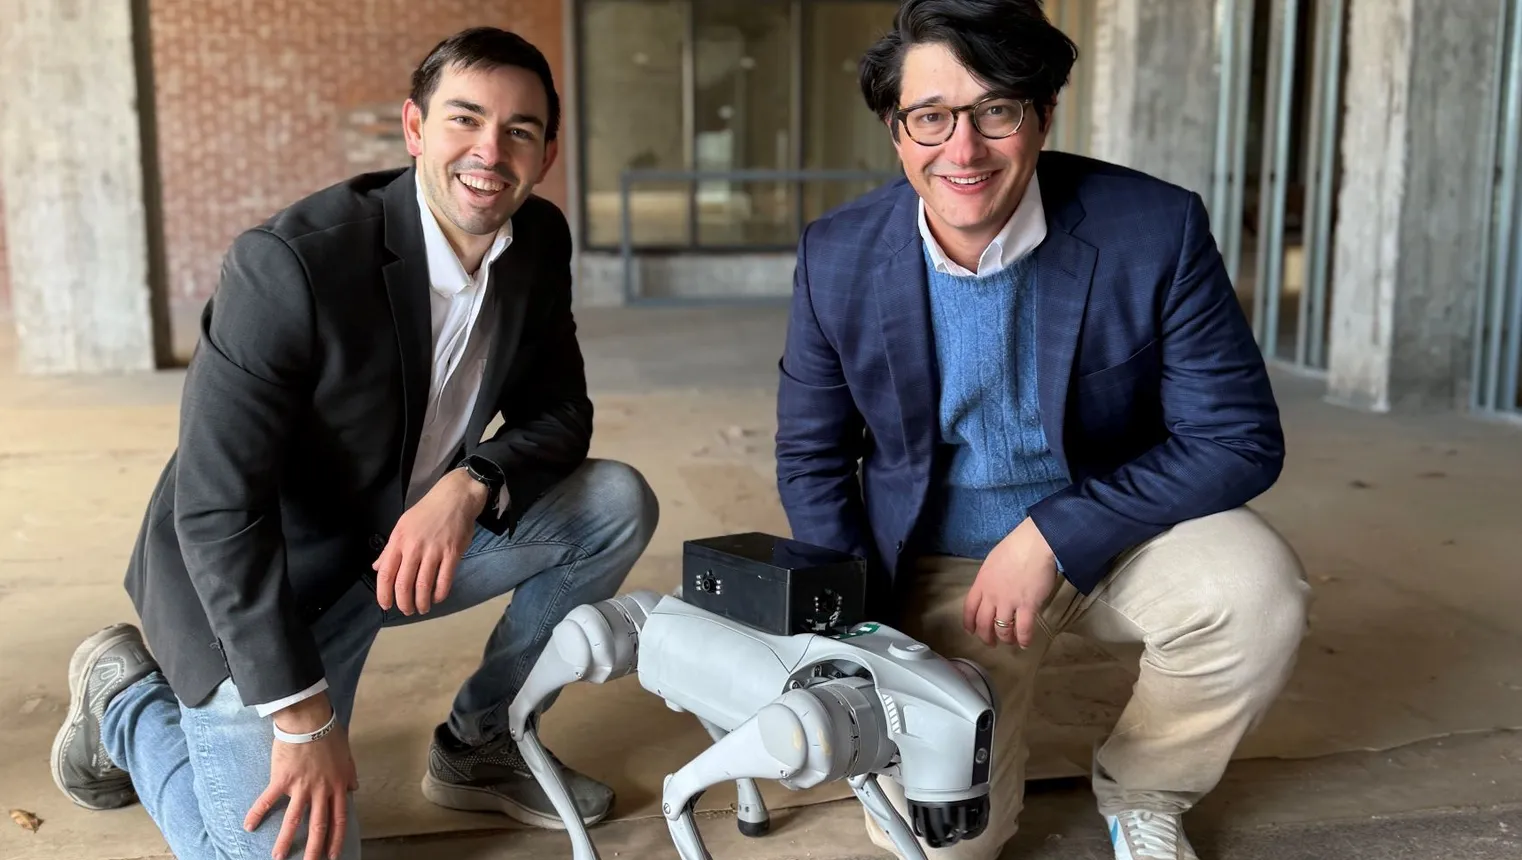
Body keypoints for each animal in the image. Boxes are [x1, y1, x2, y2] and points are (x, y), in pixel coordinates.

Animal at [502, 529, 998, 858]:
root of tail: (664, 602)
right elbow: (674, 793)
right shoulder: (806, 726)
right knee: (544, 683)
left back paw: (751, 811)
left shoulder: (850, 755)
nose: (959, 825)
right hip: (603, 638)